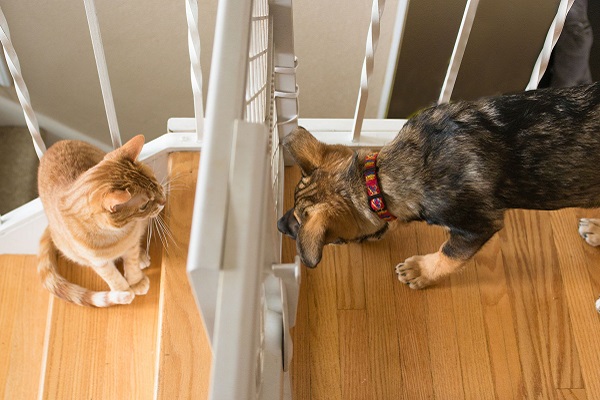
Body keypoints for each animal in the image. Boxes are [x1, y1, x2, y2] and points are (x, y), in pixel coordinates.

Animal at [37, 134, 165, 306]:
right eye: (144, 205)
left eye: (156, 183)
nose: (163, 201)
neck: (115, 235)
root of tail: (52, 147)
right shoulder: (99, 263)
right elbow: (112, 276)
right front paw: (123, 291)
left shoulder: (131, 245)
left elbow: (131, 263)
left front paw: (136, 281)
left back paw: (142, 257)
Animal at [278, 81, 600, 300]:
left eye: (334, 240)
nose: (279, 225)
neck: (380, 179)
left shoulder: (477, 225)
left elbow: (450, 254)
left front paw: (420, 271)